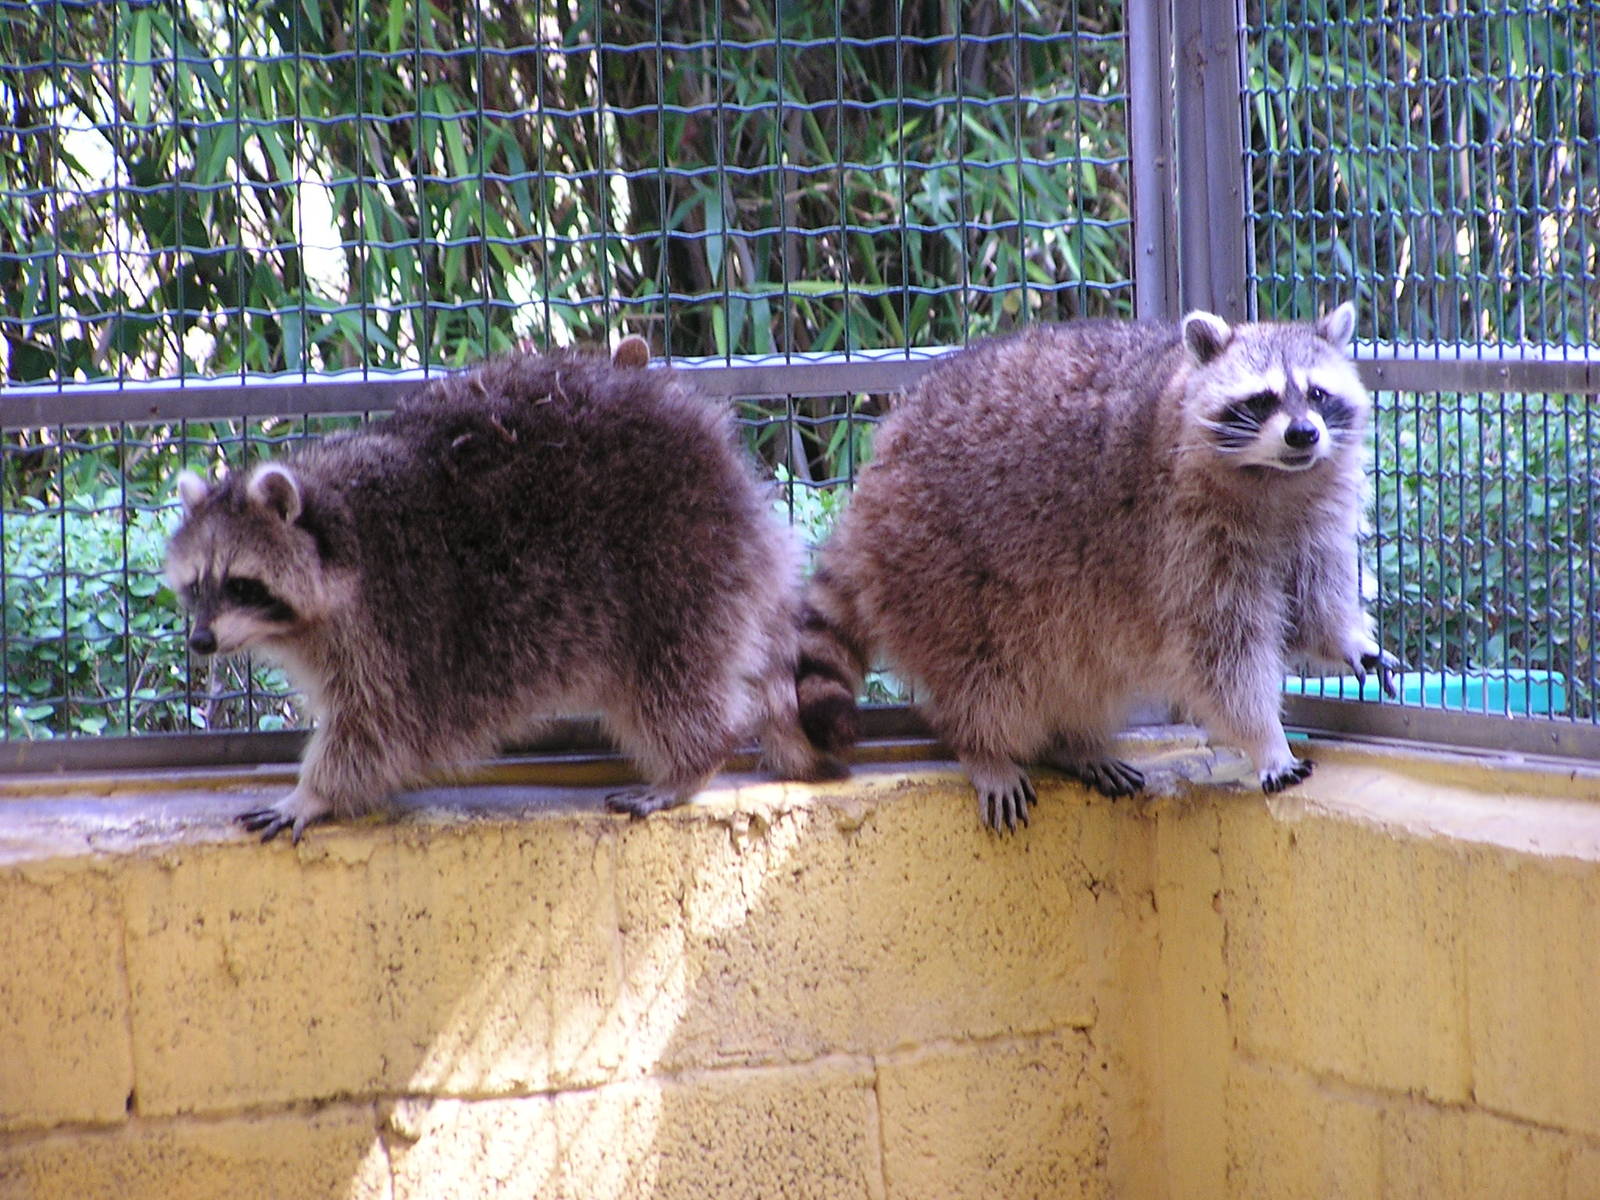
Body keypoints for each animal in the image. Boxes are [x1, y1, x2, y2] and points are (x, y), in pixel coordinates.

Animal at [166, 338, 830, 842]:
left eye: (240, 583)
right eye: (196, 586)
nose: (199, 643)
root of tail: (729, 470)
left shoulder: (397, 619)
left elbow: (380, 726)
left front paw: (315, 792)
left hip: (677, 559)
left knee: (672, 679)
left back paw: (692, 762)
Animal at [797, 304, 1399, 833]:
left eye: (1317, 394)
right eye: (1262, 399)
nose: (1304, 434)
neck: (1274, 479)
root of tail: (875, 473)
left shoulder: (1310, 519)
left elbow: (1312, 598)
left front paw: (1346, 638)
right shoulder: (1184, 535)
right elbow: (1223, 652)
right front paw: (1265, 739)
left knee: (1076, 665)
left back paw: (1073, 742)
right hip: (933, 560)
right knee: (984, 674)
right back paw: (984, 747)